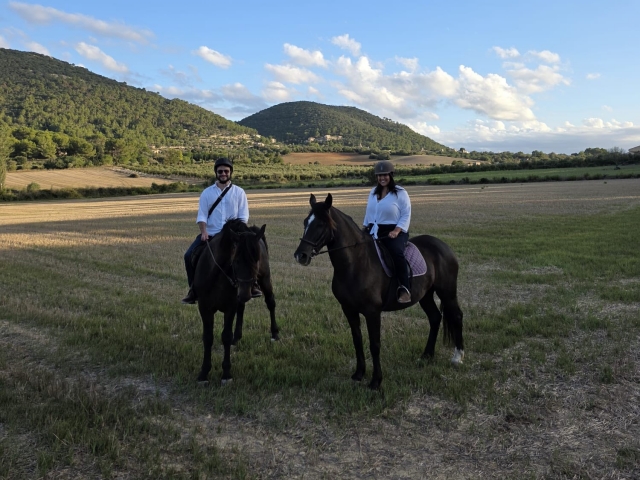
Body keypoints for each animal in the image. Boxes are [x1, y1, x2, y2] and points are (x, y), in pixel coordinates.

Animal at [192, 219, 279, 385]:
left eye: (256, 259)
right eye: (236, 260)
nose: (246, 293)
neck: (218, 275)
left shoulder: (229, 307)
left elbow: (225, 336)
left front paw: (226, 373)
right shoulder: (204, 308)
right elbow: (208, 337)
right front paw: (203, 373)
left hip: (265, 280)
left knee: (270, 303)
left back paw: (275, 334)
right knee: (242, 308)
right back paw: (237, 336)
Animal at [293, 193, 464, 390]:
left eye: (321, 224)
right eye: (305, 222)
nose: (300, 255)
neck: (356, 263)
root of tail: (443, 246)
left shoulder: (372, 312)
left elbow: (375, 344)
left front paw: (376, 381)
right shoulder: (349, 310)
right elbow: (357, 340)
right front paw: (358, 374)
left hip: (447, 292)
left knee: (457, 316)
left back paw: (457, 357)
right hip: (425, 295)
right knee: (435, 318)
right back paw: (426, 356)